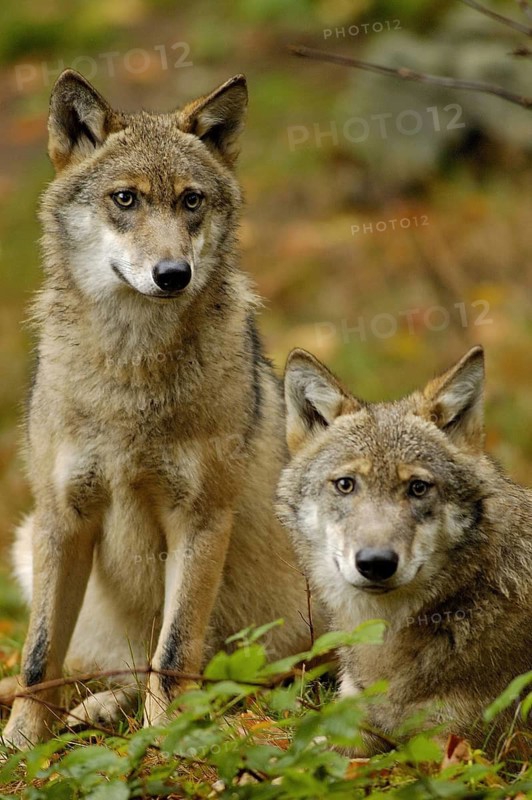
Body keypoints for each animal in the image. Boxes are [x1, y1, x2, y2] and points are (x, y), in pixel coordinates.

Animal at [1, 70, 320, 749]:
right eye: (126, 199)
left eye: (191, 201)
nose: (173, 274)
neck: (131, 371)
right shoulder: (61, 517)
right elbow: (38, 658)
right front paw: (20, 748)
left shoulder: (198, 518)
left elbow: (172, 656)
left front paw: (168, 745)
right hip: (25, 542)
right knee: (101, 670)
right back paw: (94, 711)